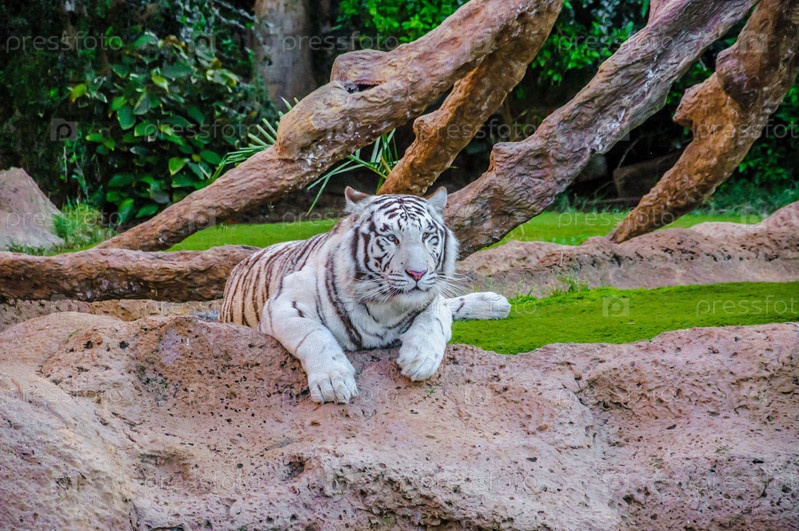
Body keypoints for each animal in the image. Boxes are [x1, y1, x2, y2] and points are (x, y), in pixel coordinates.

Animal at [220, 186, 511, 403]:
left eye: (427, 235)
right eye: (391, 238)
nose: (418, 273)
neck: (385, 306)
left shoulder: (431, 298)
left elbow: (435, 319)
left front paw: (420, 360)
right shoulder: (284, 304)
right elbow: (314, 334)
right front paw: (333, 381)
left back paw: (495, 303)